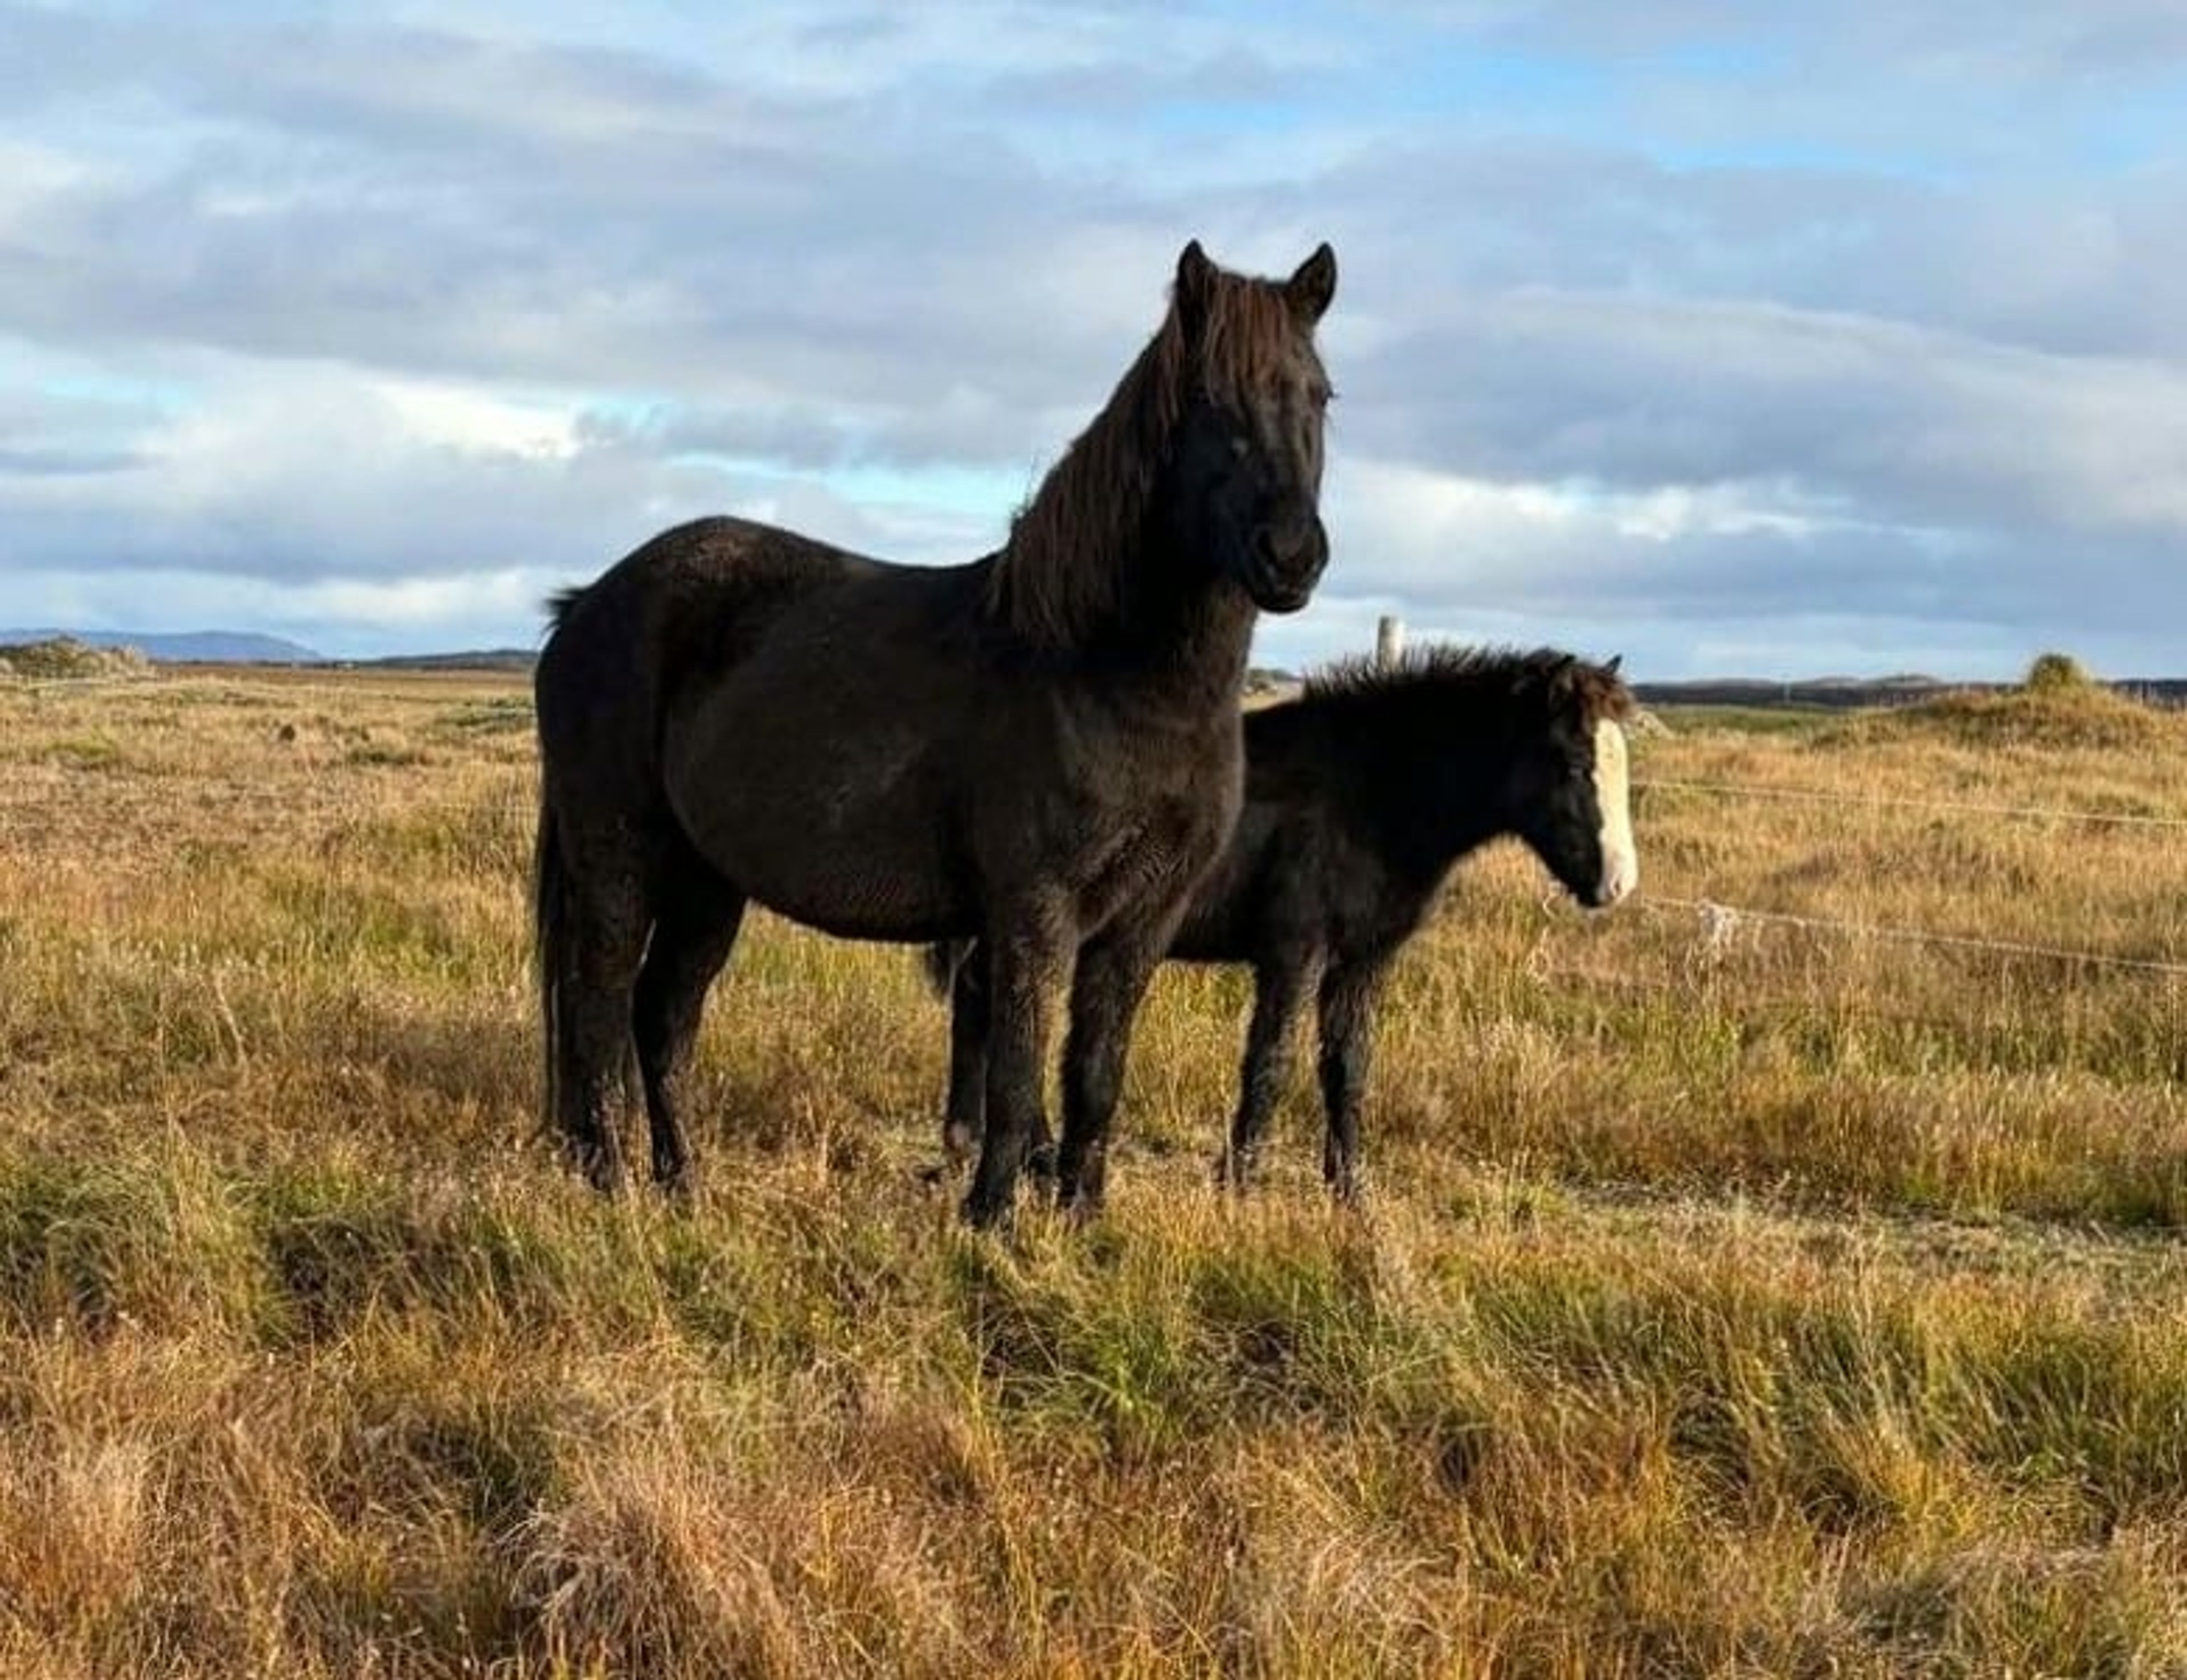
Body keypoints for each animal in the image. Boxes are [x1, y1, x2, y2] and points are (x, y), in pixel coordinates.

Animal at [532, 238, 1339, 1228]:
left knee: (661, 1019)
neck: (1115, 676)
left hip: (708, 881)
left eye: (1320, 396)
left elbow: (1095, 1079)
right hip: (621, 858)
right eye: (1210, 400)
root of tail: (584, 606)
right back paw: (615, 1186)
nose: (1291, 557)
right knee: (601, 1008)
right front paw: (991, 1220)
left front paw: (1084, 1221)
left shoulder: (1143, 921)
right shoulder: (1035, 910)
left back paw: (684, 1187)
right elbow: (1017, 1073)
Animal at [923, 645, 1639, 1198]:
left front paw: (1349, 1193)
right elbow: (1271, 1061)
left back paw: (983, 1144)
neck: (1371, 794)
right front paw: (1239, 1186)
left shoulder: (1363, 961)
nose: (1618, 883)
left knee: (980, 1000)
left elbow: (1347, 1070)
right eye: (1572, 762)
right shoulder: (1297, 951)